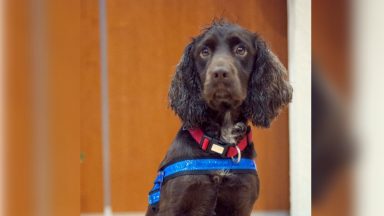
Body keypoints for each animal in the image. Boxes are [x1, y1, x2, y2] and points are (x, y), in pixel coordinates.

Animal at [146, 21, 292, 216]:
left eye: (241, 49)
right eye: (204, 51)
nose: (220, 73)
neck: (220, 144)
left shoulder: (241, 202)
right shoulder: (175, 203)